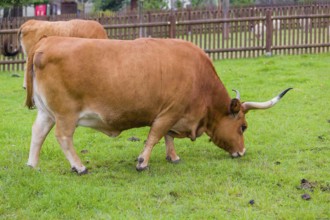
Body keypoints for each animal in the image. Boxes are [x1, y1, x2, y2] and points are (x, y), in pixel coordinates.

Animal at [24, 36, 290, 174]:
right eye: (243, 127)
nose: (242, 152)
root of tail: (47, 41)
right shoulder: (168, 112)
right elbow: (155, 135)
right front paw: (143, 162)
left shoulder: (174, 114)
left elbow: (168, 137)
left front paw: (173, 156)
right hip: (65, 114)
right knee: (63, 137)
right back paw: (79, 166)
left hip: (46, 113)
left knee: (37, 133)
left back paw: (32, 165)